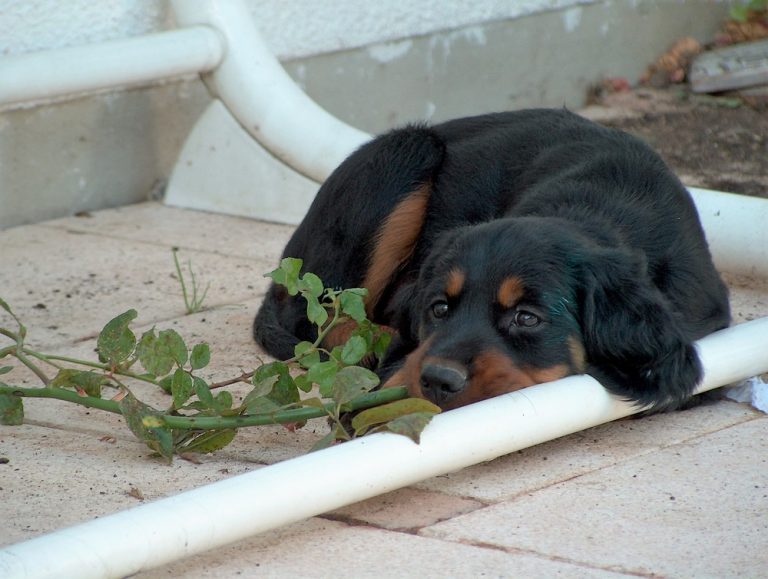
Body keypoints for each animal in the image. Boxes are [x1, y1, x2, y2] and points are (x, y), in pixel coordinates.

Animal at [254, 110, 732, 412]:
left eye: (527, 318)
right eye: (439, 308)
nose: (437, 380)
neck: (596, 207)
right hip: (405, 152)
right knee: (315, 317)